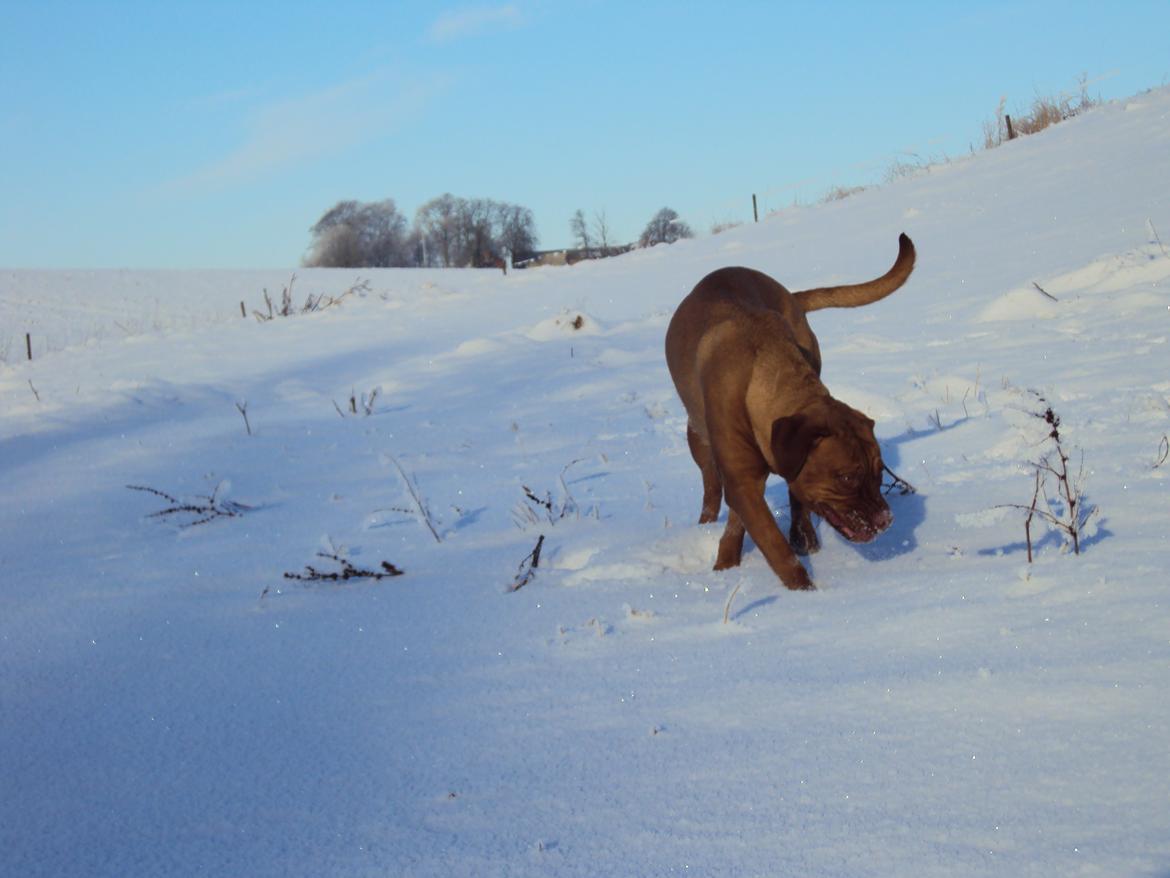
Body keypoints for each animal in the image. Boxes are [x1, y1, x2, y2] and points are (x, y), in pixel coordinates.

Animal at [669, 234, 912, 592]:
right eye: (846, 477)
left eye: (879, 470)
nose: (887, 520)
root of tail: (791, 297)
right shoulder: (740, 477)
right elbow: (772, 544)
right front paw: (803, 591)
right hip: (697, 436)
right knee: (710, 488)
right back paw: (707, 525)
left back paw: (802, 535)